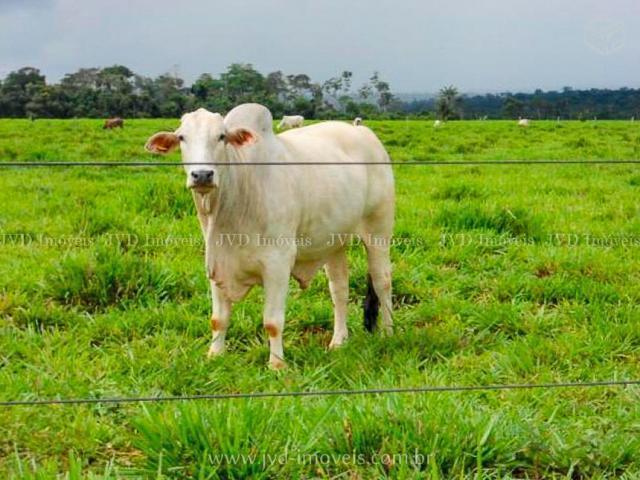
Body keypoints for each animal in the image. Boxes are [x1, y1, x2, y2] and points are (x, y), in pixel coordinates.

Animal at [145, 104, 396, 368]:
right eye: (182, 137)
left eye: (221, 136)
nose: (202, 175)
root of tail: (364, 132)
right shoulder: (216, 262)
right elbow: (218, 318)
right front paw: (214, 355)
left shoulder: (278, 264)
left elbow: (272, 322)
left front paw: (276, 364)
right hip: (335, 241)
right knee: (339, 289)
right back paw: (338, 341)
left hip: (378, 230)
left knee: (382, 281)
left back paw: (388, 333)